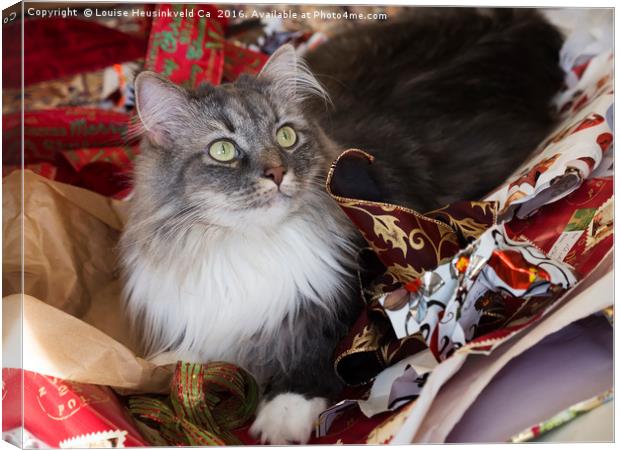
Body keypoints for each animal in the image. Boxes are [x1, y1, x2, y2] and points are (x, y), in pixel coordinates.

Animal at [120, 8, 560, 444]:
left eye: (286, 135)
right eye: (223, 150)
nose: (277, 173)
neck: (251, 243)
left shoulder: (370, 291)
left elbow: (321, 351)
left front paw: (285, 410)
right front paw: (169, 367)